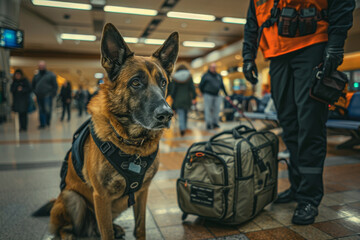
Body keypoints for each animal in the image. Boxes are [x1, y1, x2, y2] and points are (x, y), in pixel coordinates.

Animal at [47, 23, 179, 239]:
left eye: (163, 83)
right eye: (136, 82)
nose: (167, 114)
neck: (132, 145)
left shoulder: (143, 192)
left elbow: (140, 227)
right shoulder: (101, 196)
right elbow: (106, 232)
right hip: (71, 197)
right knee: (67, 230)